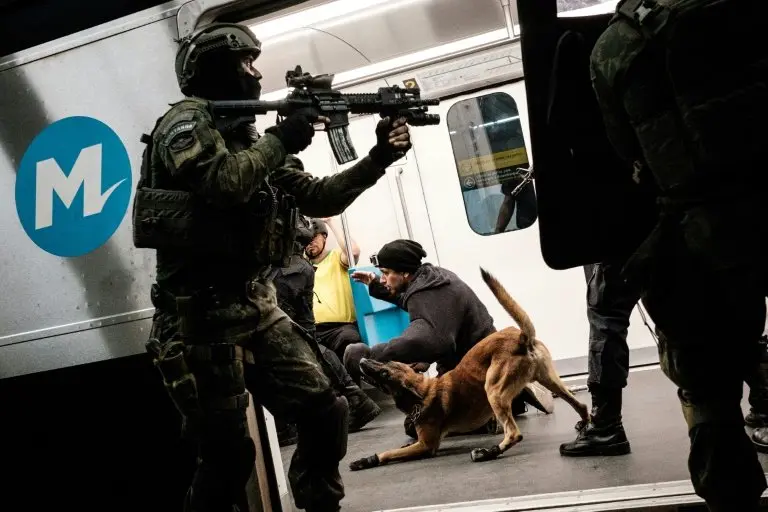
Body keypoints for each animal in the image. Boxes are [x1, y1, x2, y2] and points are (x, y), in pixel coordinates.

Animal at [348, 268, 588, 472]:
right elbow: (396, 449)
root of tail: (521, 338)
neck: (422, 394)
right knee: (582, 406)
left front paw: (368, 460)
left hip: (493, 390)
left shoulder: (426, 445)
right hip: (550, 381)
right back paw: (583, 425)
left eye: (385, 373)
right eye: (387, 363)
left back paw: (488, 452)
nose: (363, 360)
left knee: (514, 433)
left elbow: (389, 453)